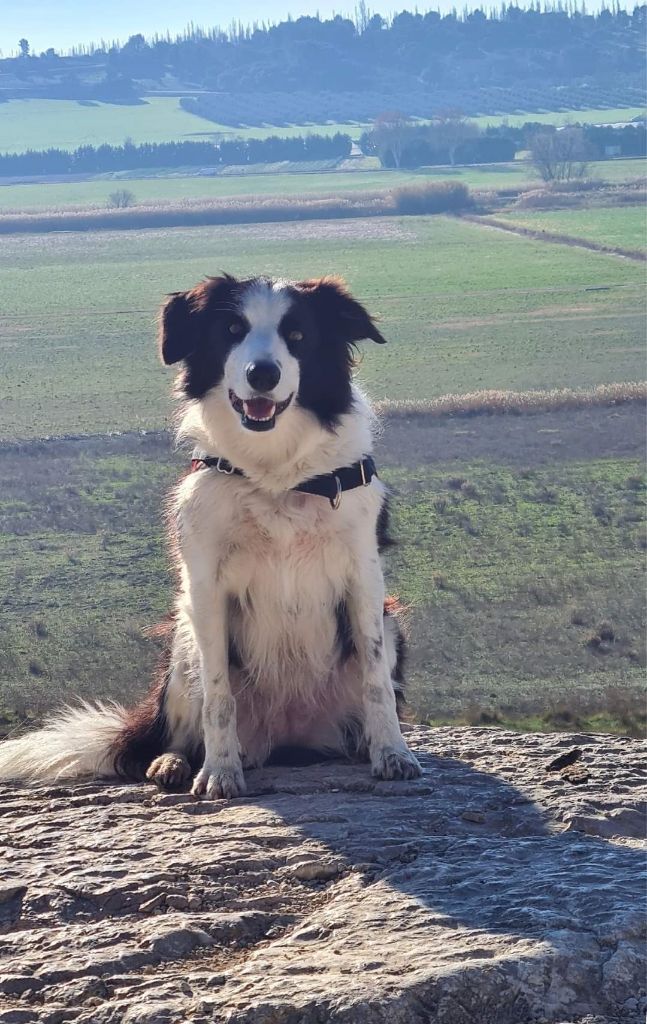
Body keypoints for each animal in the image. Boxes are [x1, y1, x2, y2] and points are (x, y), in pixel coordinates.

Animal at [0, 272, 419, 790]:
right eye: (233, 330)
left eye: (298, 335)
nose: (263, 374)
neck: (274, 474)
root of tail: (289, 737)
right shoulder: (206, 587)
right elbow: (219, 696)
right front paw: (219, 773)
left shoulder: (364, 578)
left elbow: (376, 679)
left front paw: (392, 753)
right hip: (182, 641)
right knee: (182, 729)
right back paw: (174, 763)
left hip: (390, 621)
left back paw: (359, 745)